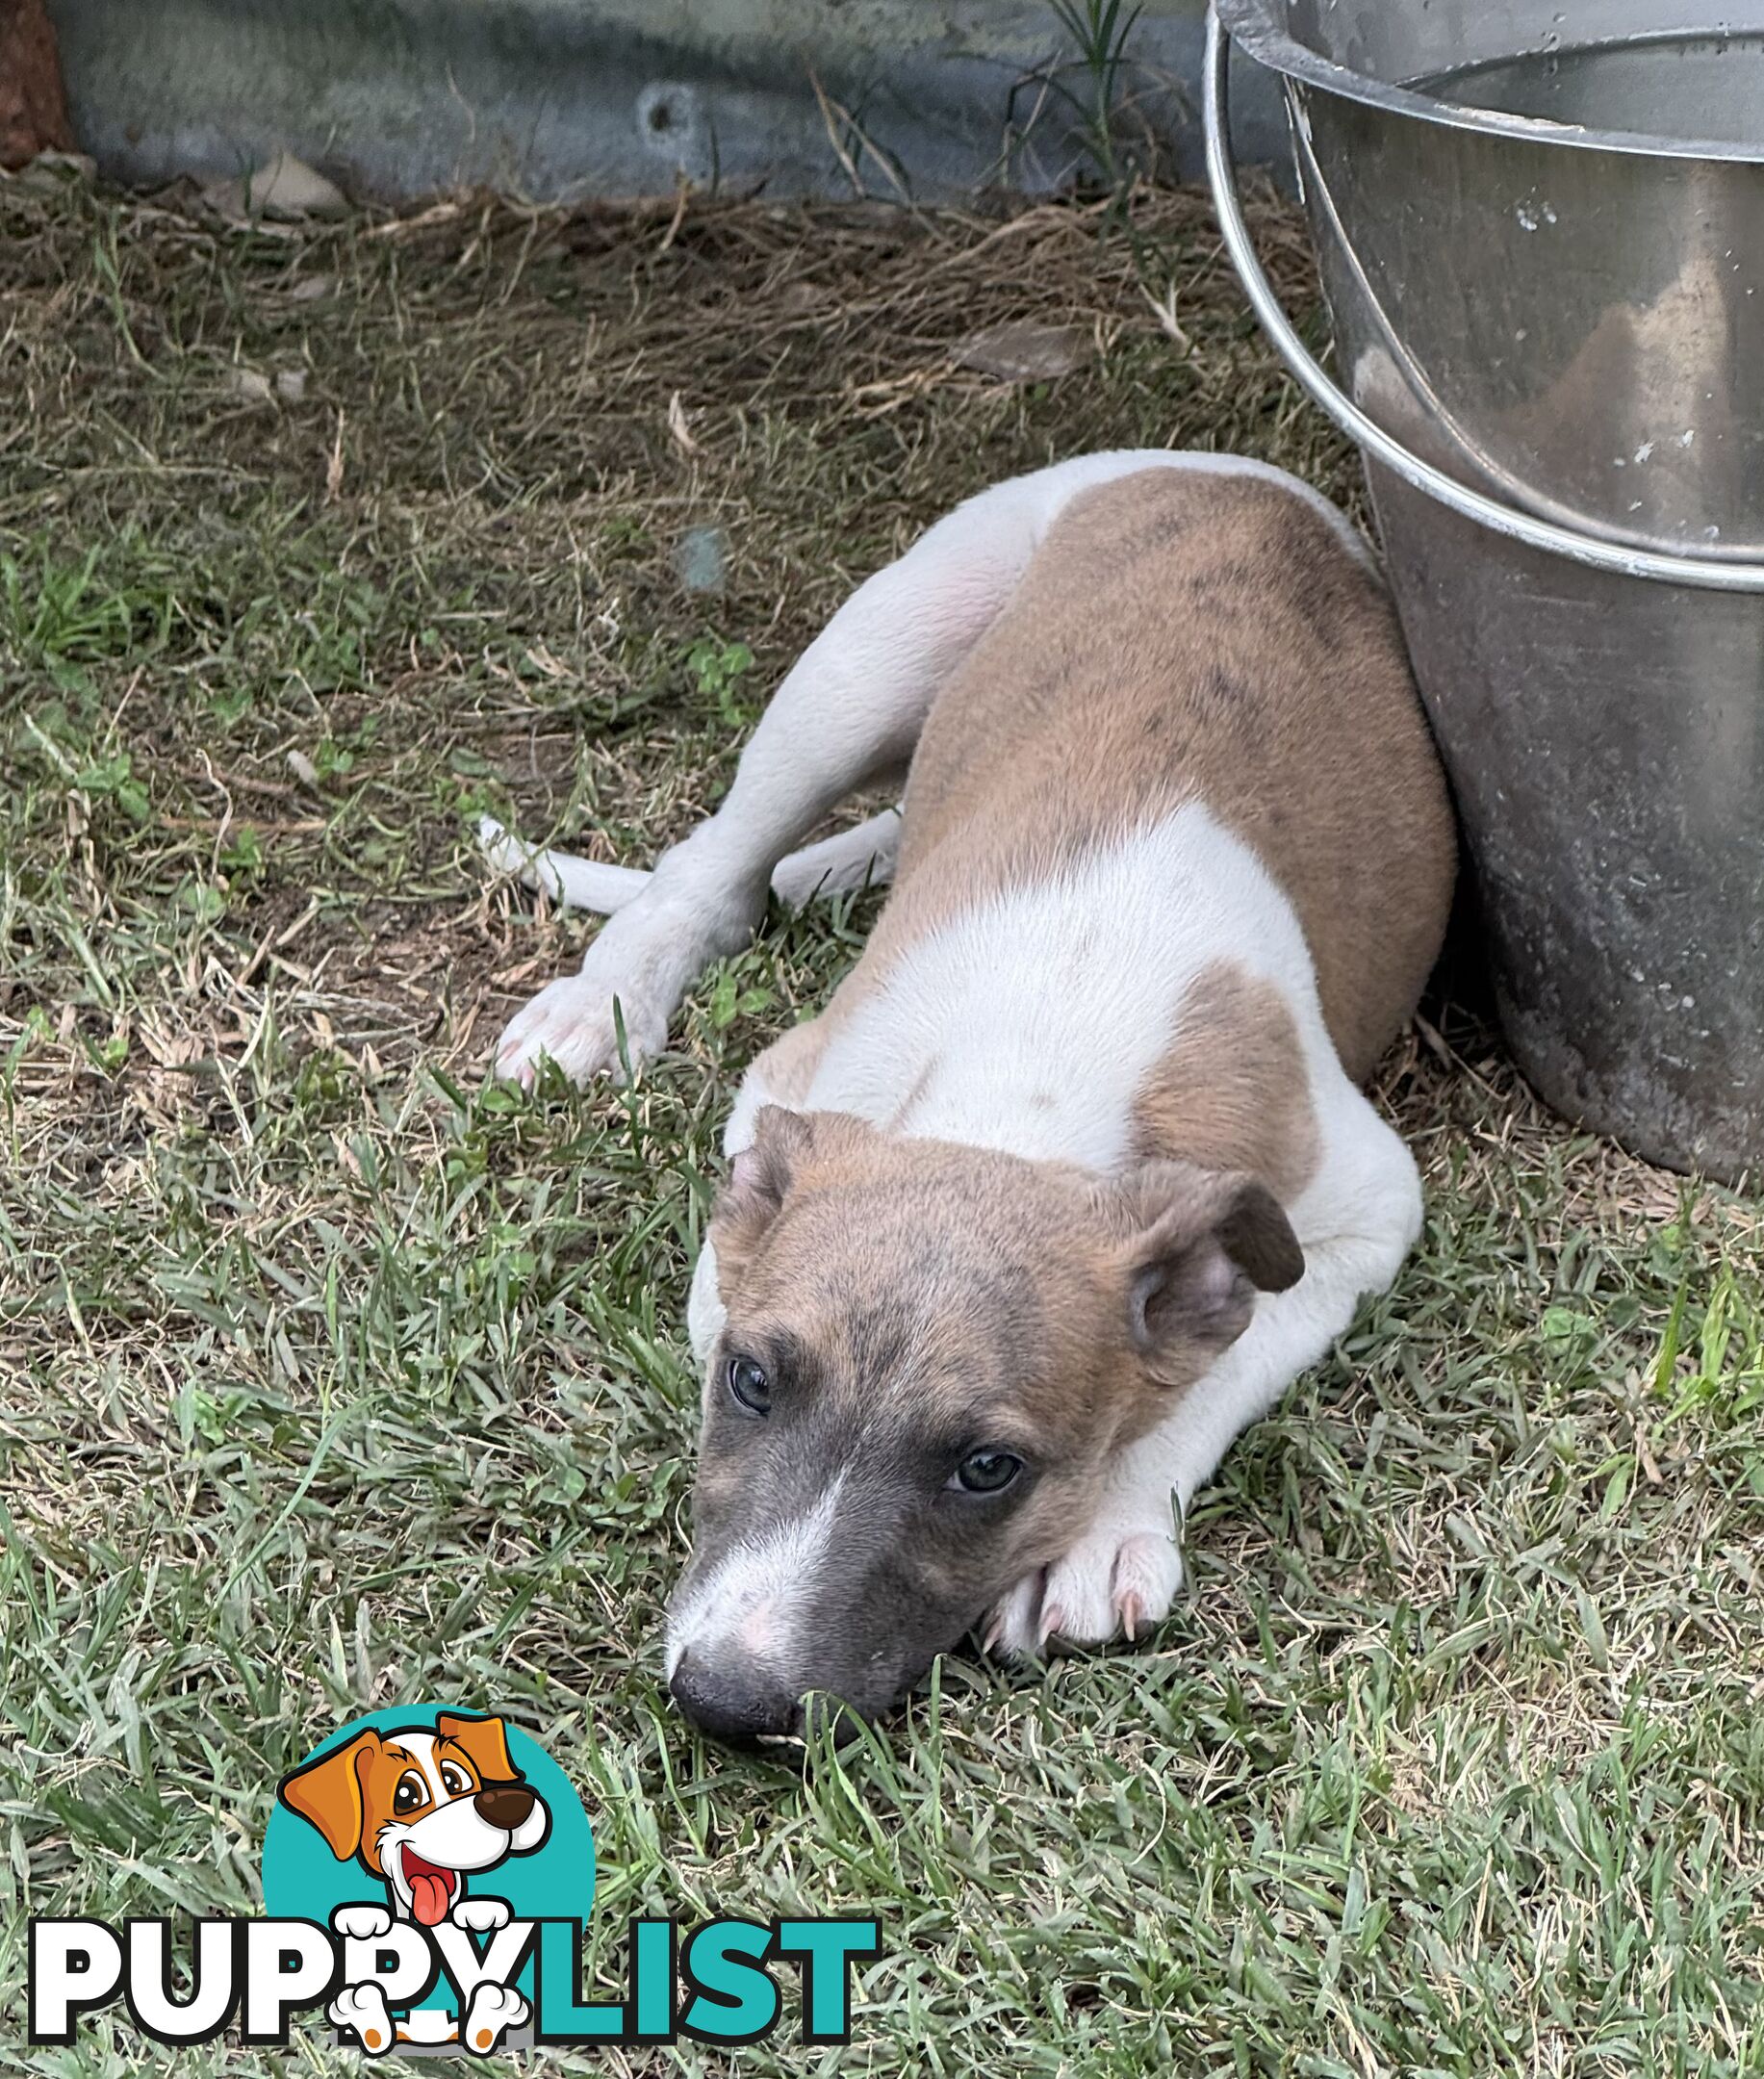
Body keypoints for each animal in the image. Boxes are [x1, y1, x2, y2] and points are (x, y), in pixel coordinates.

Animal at [481, 450, 1445, 1737]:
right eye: (752, 1380)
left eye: (988, 1469)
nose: (727, 1702)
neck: (1034, 1075)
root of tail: (1213, 470)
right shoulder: (785, 1096)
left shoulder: (1360, 1214)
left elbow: (1212, 1373)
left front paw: (1099, 1532)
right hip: (864, 665)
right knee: (715, 868)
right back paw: (603, 1002)